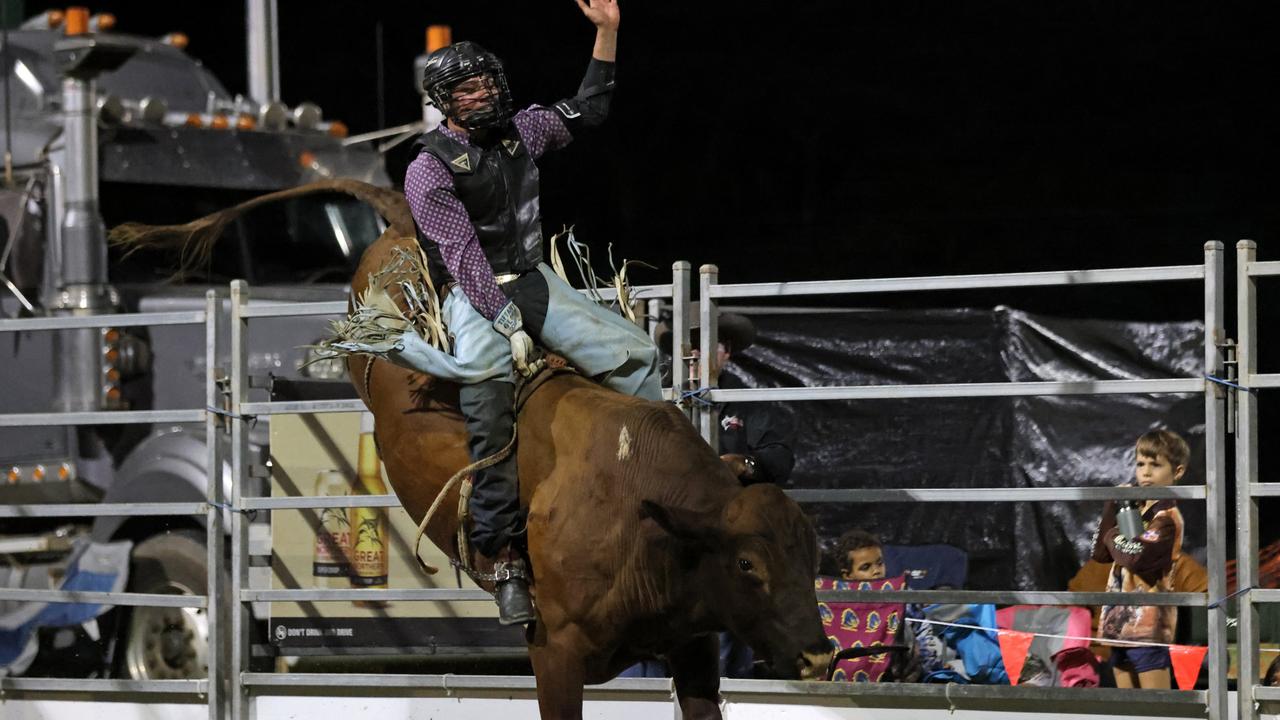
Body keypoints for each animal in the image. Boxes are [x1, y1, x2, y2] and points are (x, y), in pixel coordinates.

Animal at [107, 176, 829, 712]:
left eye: (812, 557)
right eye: (747, 563)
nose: (821, 655)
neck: (644, 516)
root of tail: (407, 220)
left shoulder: (693, 650)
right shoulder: (556, 654)